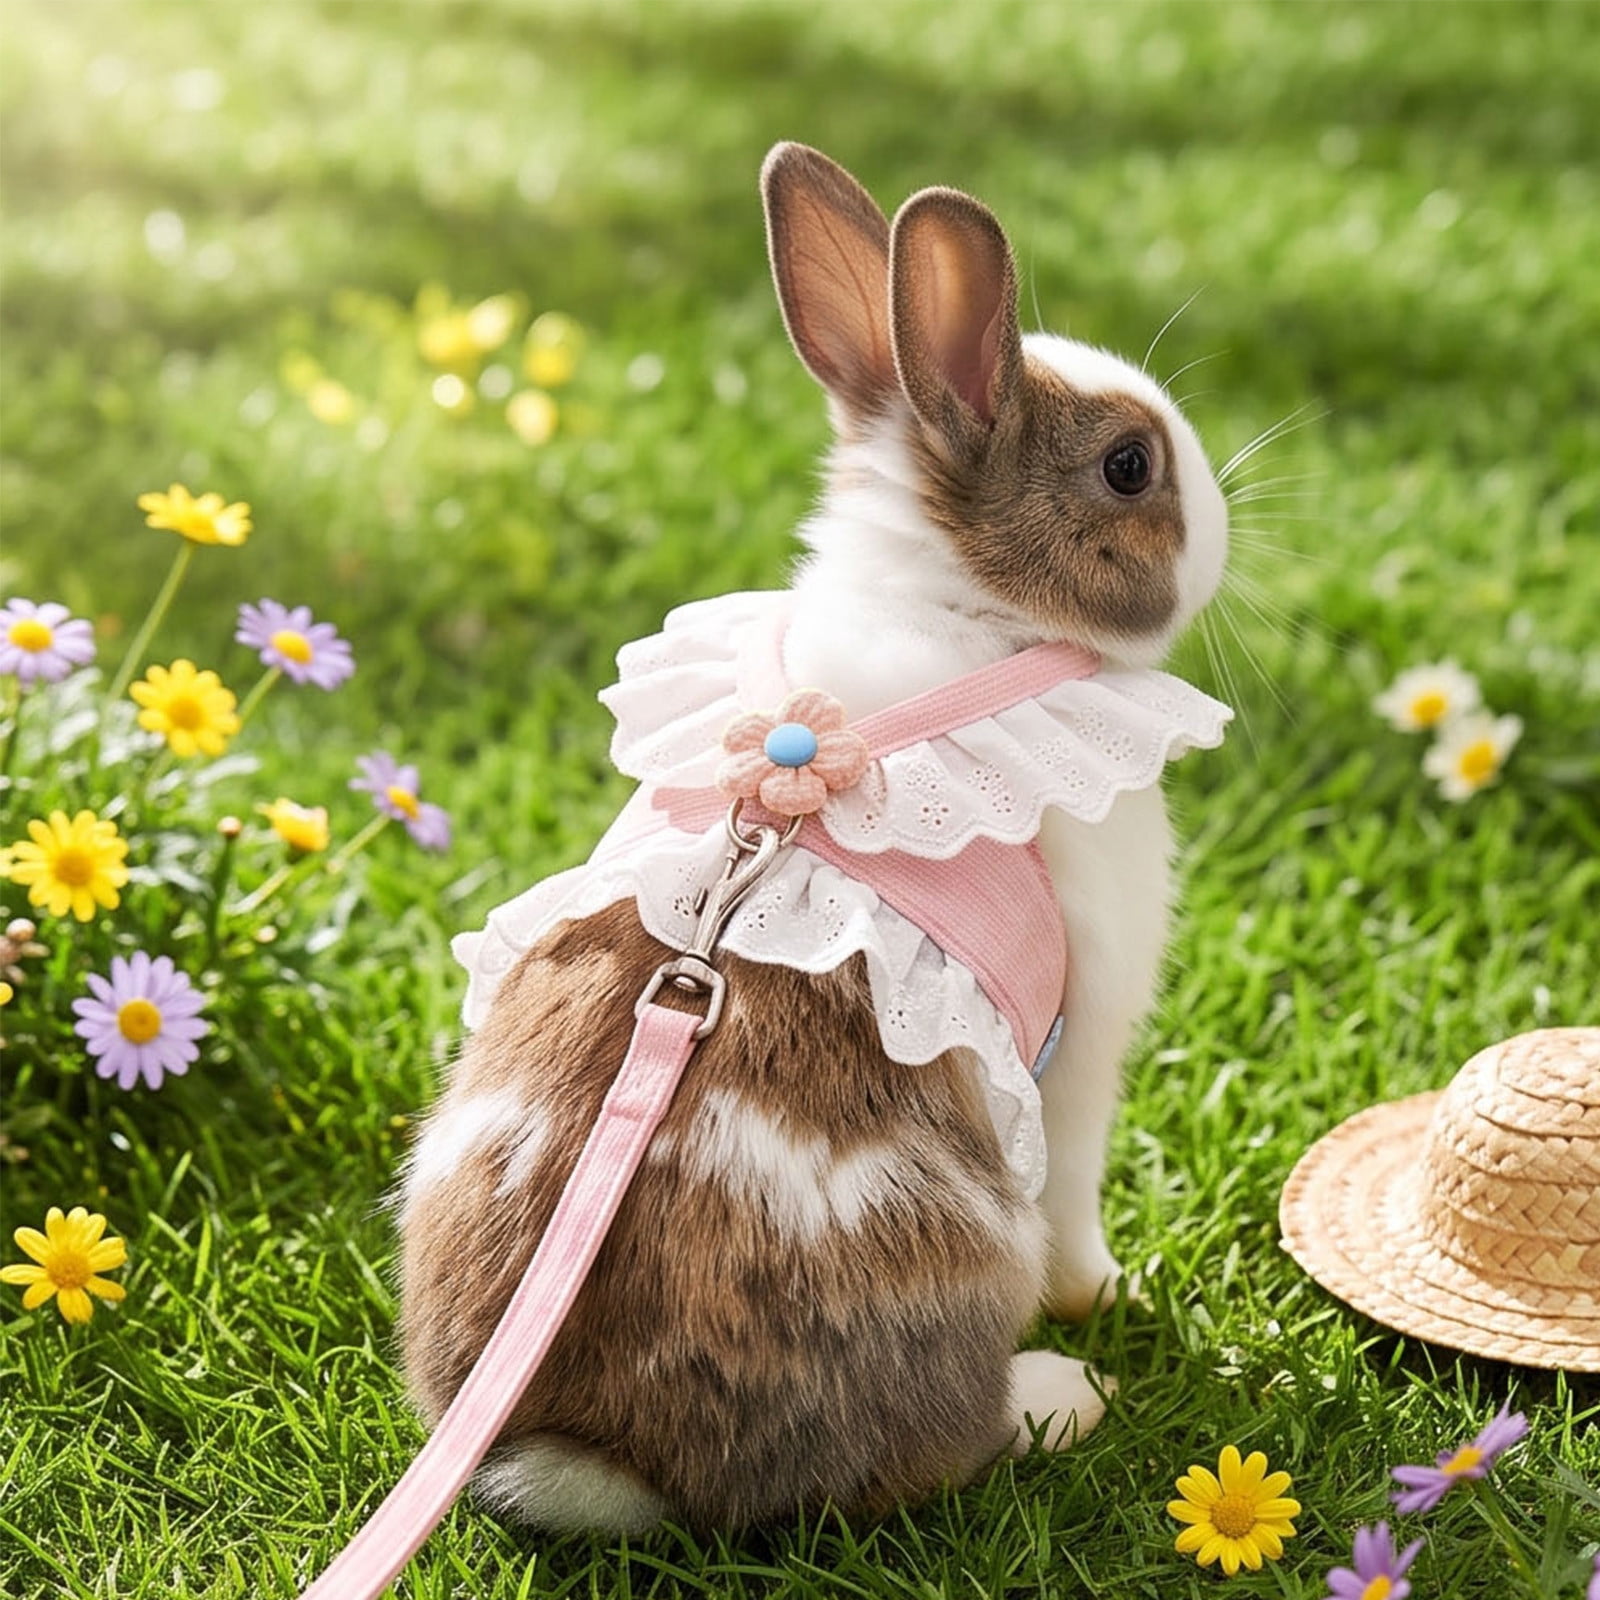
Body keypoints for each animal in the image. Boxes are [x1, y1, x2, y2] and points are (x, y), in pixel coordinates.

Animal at [397, 142, 1229, 1535]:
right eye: (1128, 466)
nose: (1221, 527)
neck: (970, 623)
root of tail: (617, 1456)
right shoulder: (1082, 1047)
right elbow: (1076, 1190)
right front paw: (1108, 1291)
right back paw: (1063, 1392)